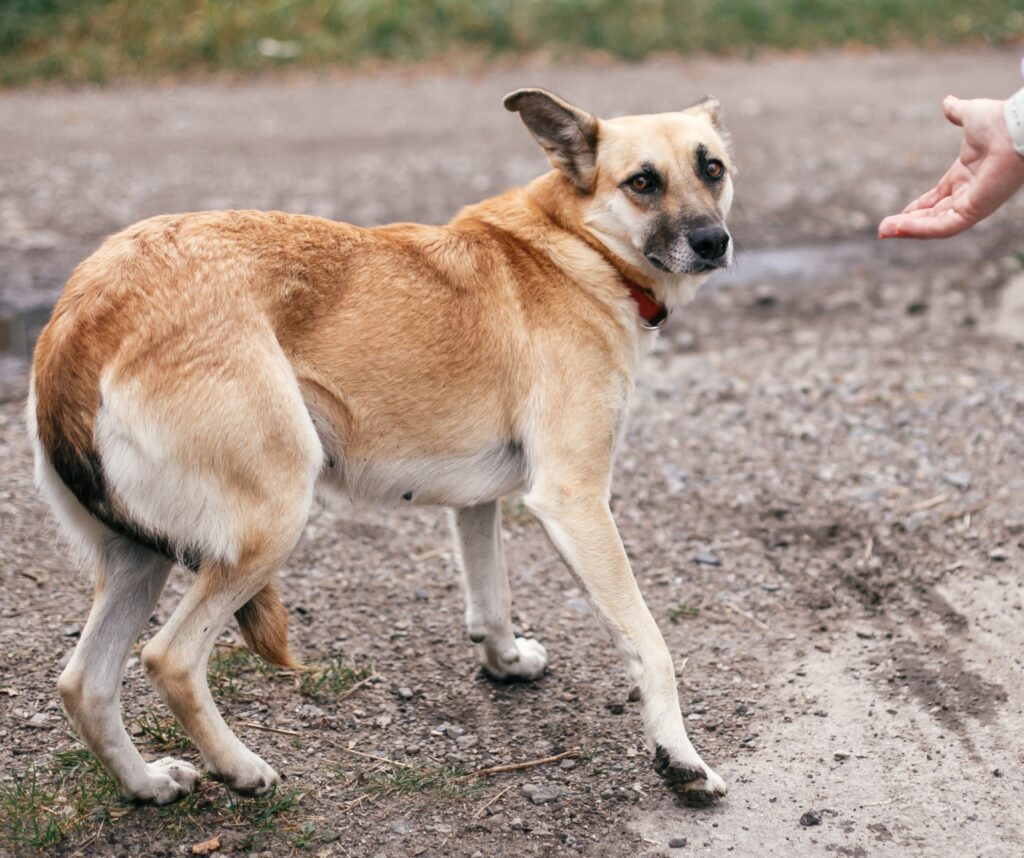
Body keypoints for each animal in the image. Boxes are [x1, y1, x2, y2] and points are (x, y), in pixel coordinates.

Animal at [29, 90, 737, 810]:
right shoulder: (575, 501)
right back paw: (243, 769)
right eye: (643, 182)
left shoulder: (479, 504)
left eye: (711, 169)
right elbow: (650, 643)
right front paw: (681, 760)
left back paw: (146, 783)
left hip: (139, 558)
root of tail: (84, 315)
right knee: (168, 659)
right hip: (271, 523)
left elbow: (491, 596)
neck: (576, 245)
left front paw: (504, 662)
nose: (714, 242)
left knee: (84, 684)